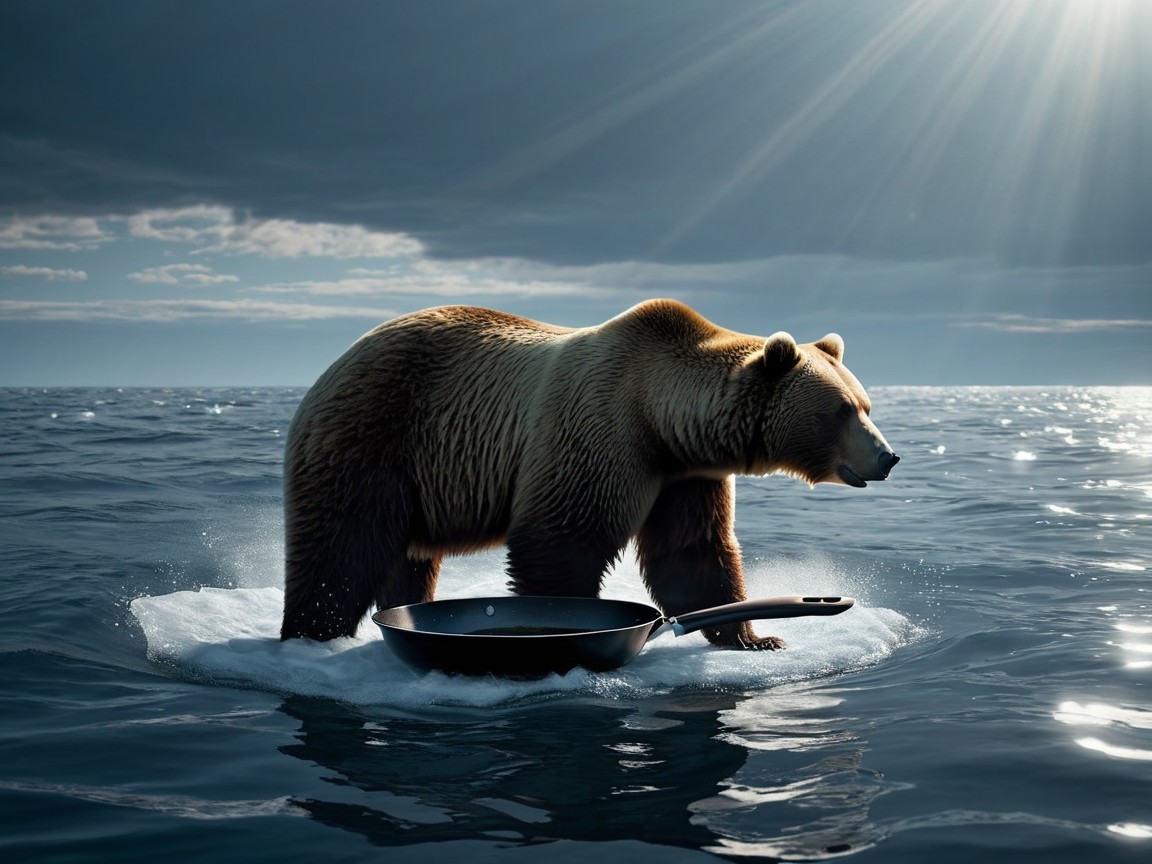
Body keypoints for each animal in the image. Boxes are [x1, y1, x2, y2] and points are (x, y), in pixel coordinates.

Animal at [280, 299, 899, 647]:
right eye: (842, 410)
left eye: (866, 404)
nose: (888, 457)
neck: (660, 415)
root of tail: (337, 361)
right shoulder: (601, 431)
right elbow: (561, 540)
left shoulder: (684, 474)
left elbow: (693, 553)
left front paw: (755, 637)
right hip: (378, 435)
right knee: (341, 544)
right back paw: (311, 634)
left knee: (406, 557)